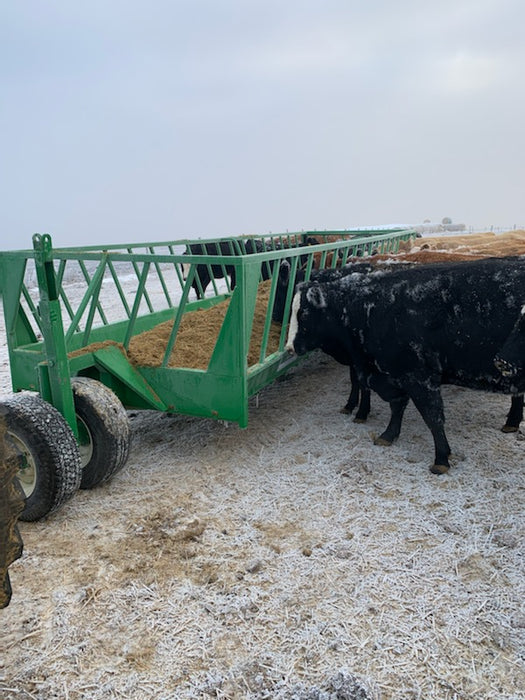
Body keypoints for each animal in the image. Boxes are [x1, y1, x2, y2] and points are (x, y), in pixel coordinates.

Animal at [285, 256, 525, 474]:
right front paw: (388, 435)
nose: (289, 347)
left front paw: (441, 459)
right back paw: (512, 422)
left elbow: (433, 417)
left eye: (303, 313)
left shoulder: (419, 376)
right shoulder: (392, 374)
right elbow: (397, 406)